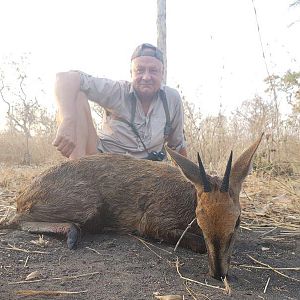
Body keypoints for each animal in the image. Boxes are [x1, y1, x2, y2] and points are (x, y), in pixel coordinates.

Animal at [0, 134, 262, 278]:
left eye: (237, 221)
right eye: (200, 218)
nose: (219, 273)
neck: (188, 198)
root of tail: (24, 195)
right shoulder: (152, 223)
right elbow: (197, 244)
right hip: (88, 207)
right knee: (16, 219)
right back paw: (72, 234)